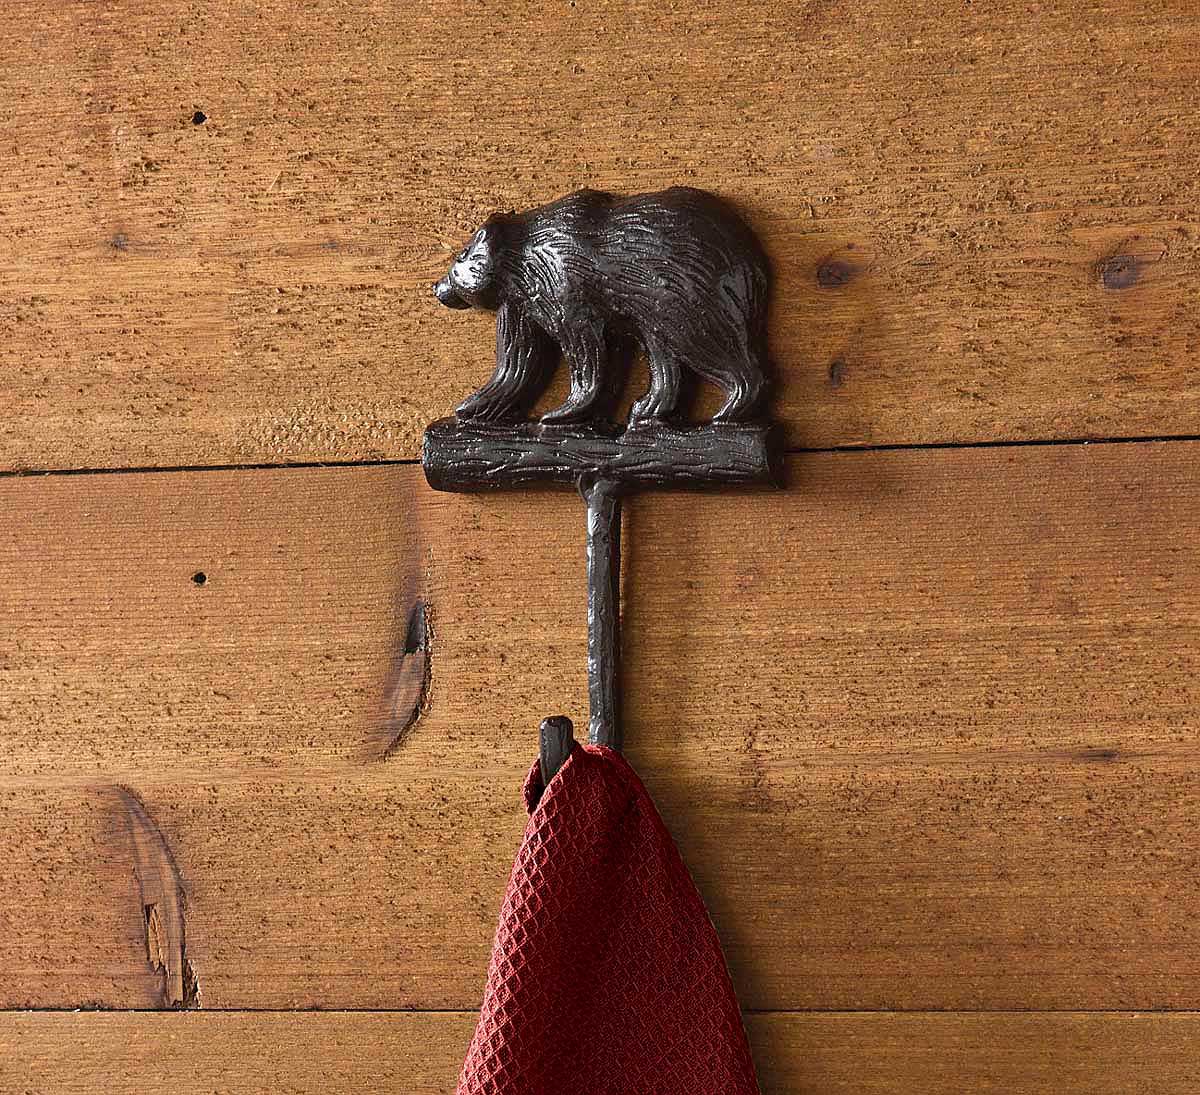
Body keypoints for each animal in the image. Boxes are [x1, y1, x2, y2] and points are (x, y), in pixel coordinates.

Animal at [433, 187, 771, 426]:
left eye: (459, 258)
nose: (437, 287)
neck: (519, 266)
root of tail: (748, 256)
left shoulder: (564, 289)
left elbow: (583, 350)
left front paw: (560, 413)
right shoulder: (523, 305)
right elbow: (518, 359)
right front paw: (474, 407)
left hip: (682, 296)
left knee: (707, 343)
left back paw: (728, 412)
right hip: (655, 307)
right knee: (663, 356)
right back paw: (647, 410)